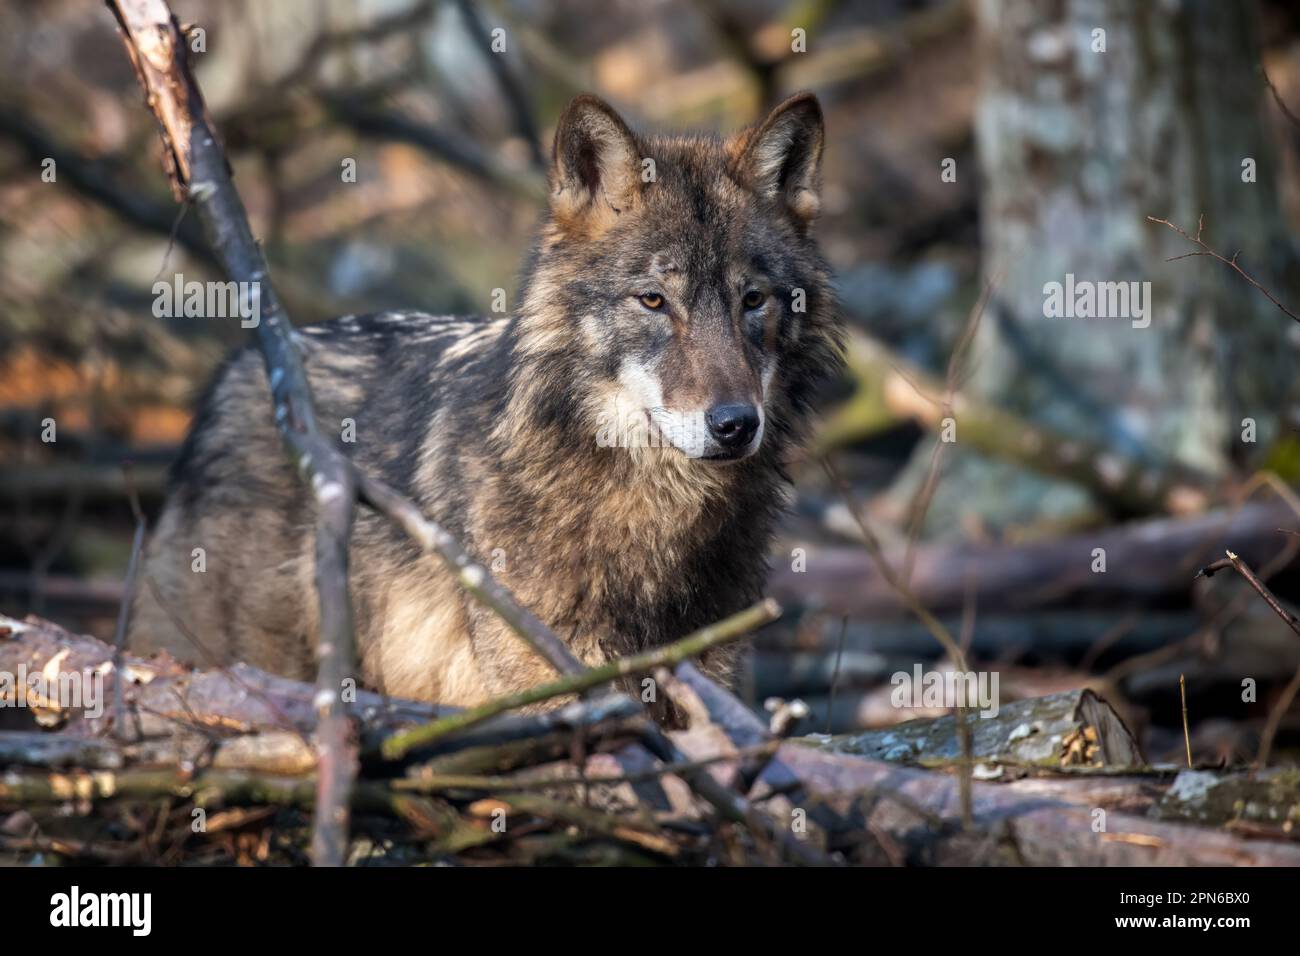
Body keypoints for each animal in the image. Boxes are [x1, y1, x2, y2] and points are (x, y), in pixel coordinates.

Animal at [128, 92, 843, 719]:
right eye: (653, 301)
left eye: (753, 300)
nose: (735, 425)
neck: (654, 511)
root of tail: (238, 373)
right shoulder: (558, 680)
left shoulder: (708, 670)